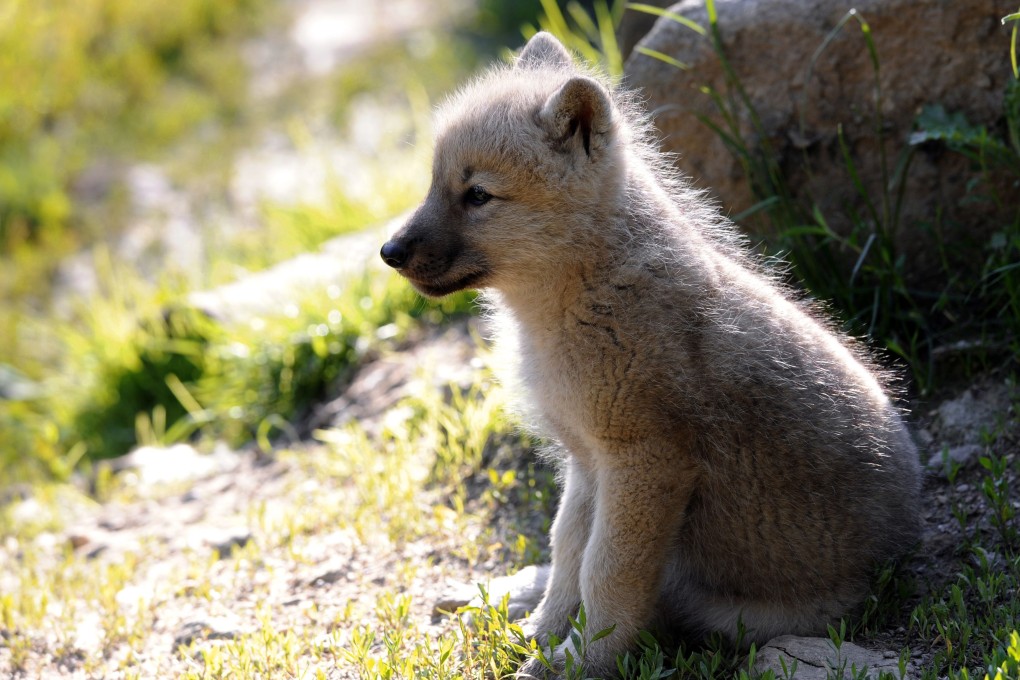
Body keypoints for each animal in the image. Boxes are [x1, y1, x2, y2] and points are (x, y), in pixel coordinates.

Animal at [380, 32, 921, 679]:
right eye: (433, 184)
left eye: (478, 194)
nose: (388, 251)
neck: (583, 297)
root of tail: (901, 556)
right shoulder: (586, 462)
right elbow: (567, 552)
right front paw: (545, 635)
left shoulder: (643, 462)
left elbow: (606, 572)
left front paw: (583, 658)